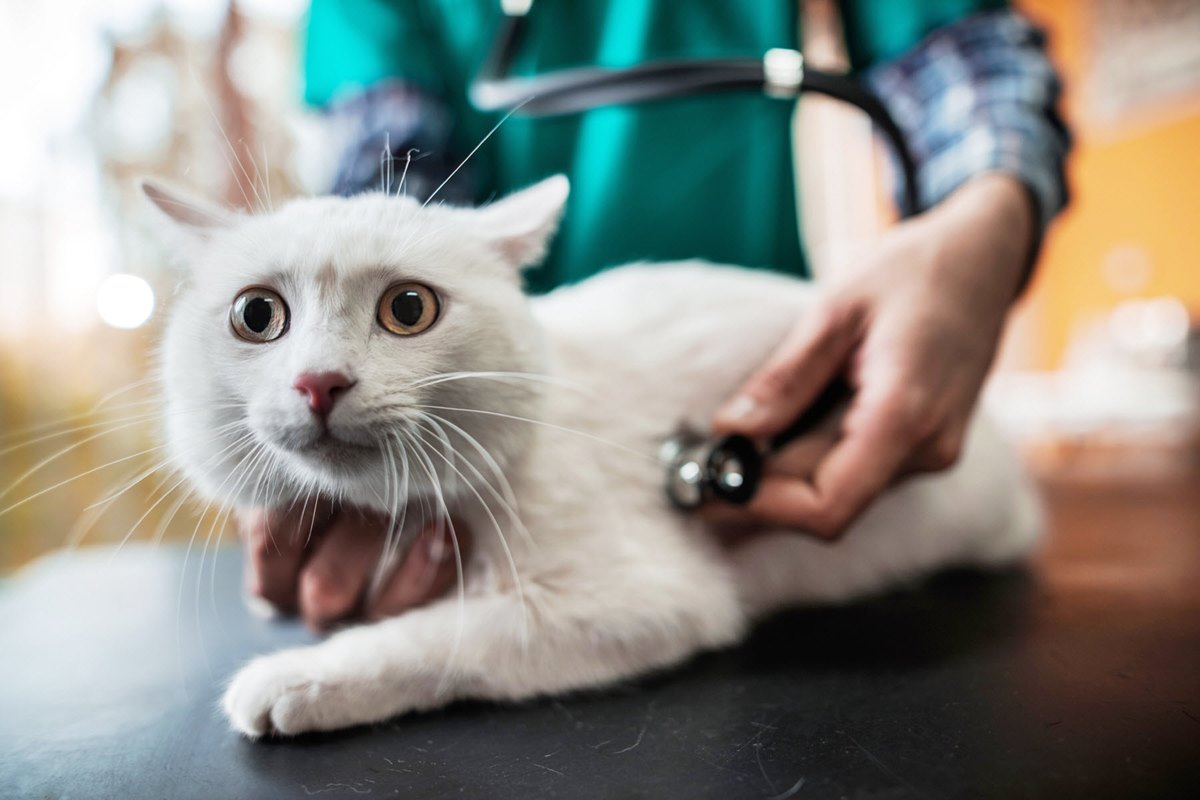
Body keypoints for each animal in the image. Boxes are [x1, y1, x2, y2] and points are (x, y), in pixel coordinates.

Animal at [142, 176, 1041, 738]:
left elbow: (440, 638)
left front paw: (298, 680)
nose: (320, 382)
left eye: (408, 308)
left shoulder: (639, 596)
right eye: (258, 315)